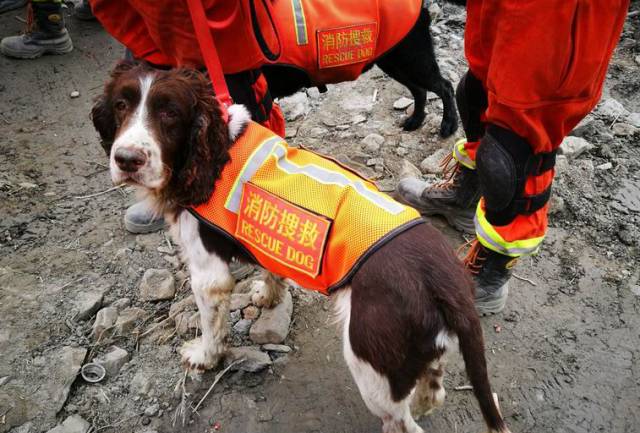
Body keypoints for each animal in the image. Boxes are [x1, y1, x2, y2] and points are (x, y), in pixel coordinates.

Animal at [90, 62, 510, 432]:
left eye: (171, 113)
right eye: (121, 105)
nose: (126, 159)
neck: (215, 149)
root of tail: (446, 280)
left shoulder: (208, 274)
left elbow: (212, 327)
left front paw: (204, 358)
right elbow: (270, 268)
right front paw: (269, 295)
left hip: (370, 358)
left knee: (401, 421)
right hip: (420, 347)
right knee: (433, 390)